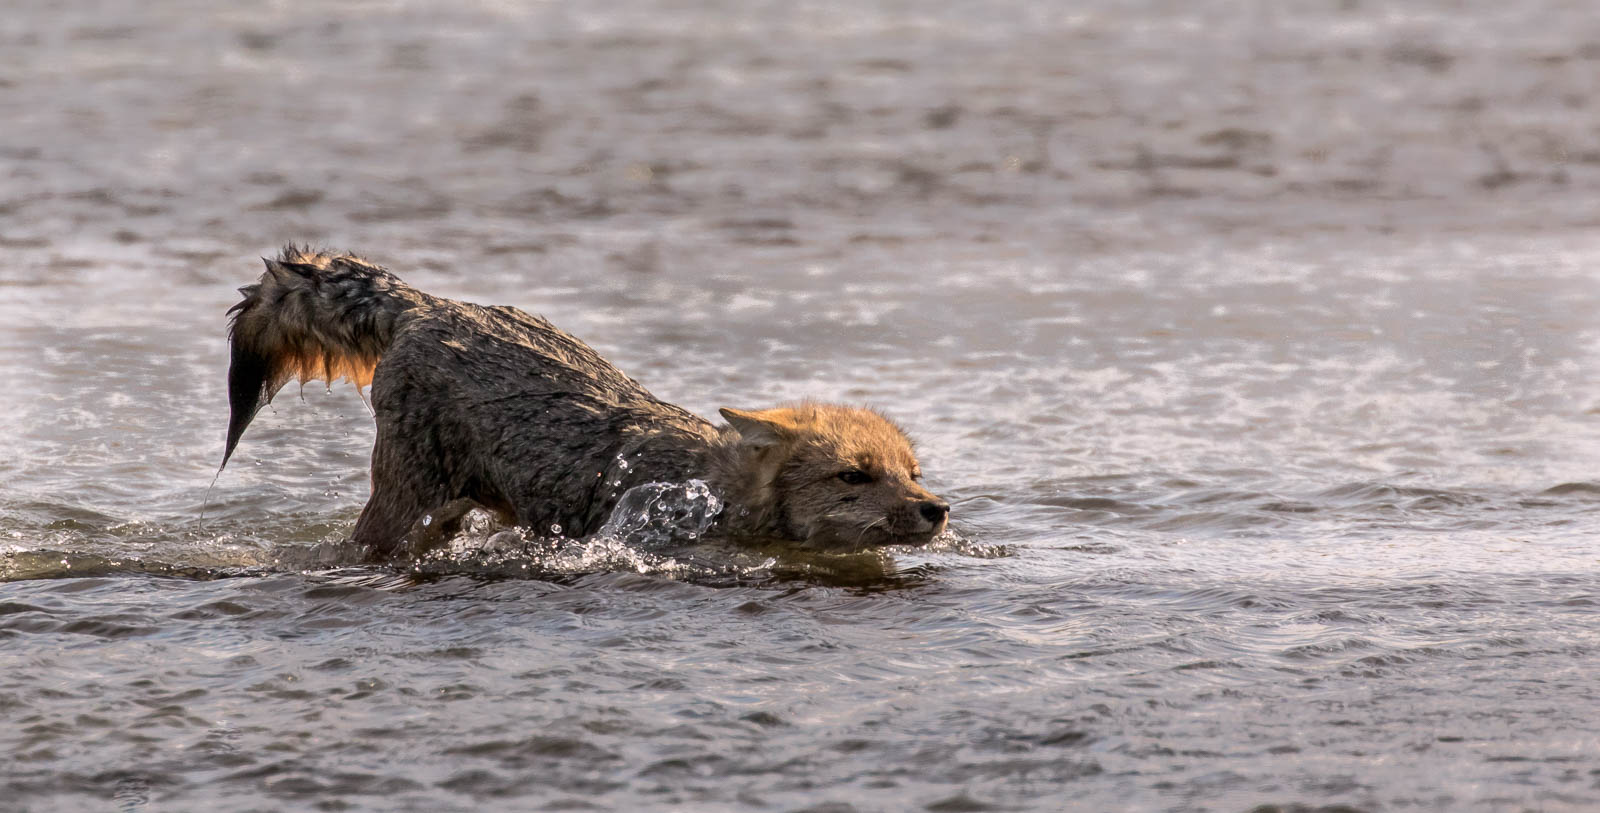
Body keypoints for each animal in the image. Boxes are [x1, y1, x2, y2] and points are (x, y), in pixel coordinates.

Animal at [222, 247, 949, 559]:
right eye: (854, 476)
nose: (937, 509)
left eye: (913, 474)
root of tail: (430, 303)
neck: (710, 486)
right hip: (405, 509)